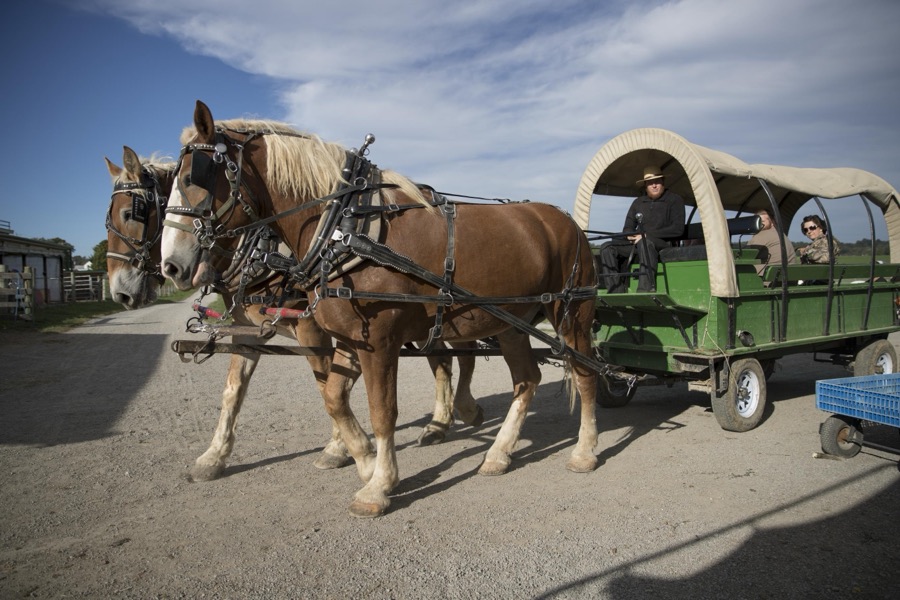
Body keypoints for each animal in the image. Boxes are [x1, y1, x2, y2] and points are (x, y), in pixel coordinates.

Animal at [106, 146, 483, 482]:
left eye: (131, 213)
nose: (120, 291)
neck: (263, 248)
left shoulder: (314, 330)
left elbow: (327, 384)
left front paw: (339, 449)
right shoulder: (245, 329)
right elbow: (233, 391)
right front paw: (213, 457)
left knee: (458, 356)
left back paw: (459, 411)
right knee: (443, 359)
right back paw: (441, 422)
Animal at [161, 100, 600, 517]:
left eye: (193, 177)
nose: (171, 265)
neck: (344, 227)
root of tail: (567, 222)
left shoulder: (380, 342)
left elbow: (382, 409)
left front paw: (378, 486)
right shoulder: (348, 338)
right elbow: (333, 397)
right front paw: (366, 462)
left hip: (573, 316)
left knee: (584, 374)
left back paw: (584, 450)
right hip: (510, 323)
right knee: (526, 379)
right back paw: (498, 452)